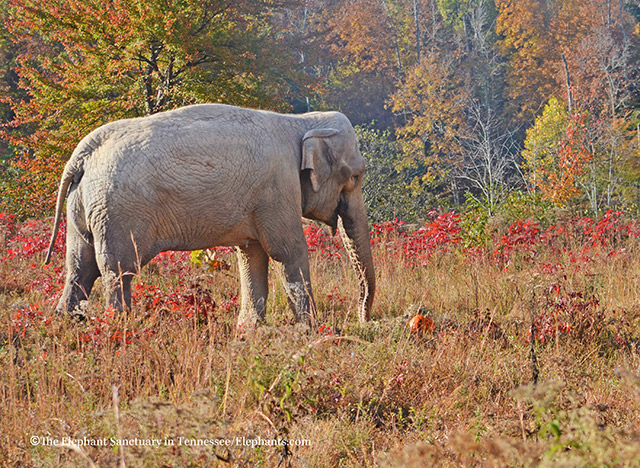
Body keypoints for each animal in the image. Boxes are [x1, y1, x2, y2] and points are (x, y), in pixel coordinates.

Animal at [43, 103, 376, 328]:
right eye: (356, 176)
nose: (363, 322)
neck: (299, 122)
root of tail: (81, 155)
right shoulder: (277, 189)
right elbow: (287, 252)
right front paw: (311, 329)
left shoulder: (259, 200)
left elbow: (251, 255)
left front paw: (249, 330)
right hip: (118, 214)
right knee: (117, 270)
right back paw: (119, 327)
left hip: (84, 207)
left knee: (80, 268)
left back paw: (67, 326)